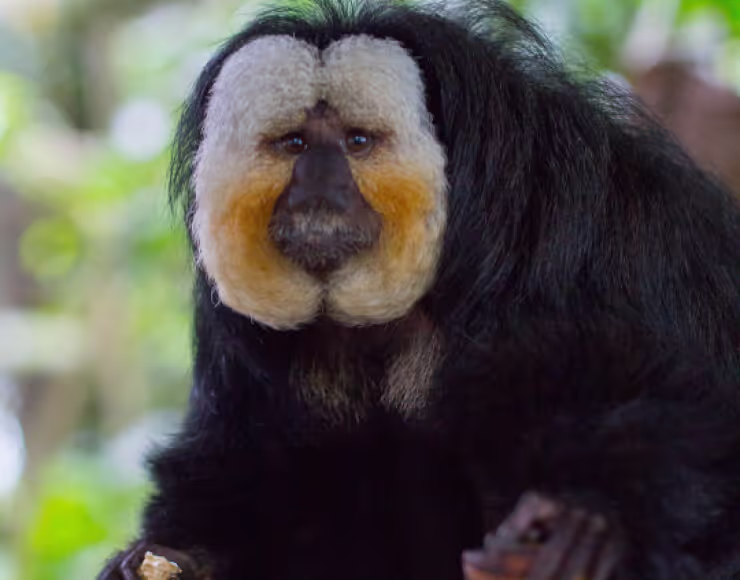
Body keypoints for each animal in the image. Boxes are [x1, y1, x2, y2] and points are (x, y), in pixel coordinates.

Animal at [97, 1, 740, 579]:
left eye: (356, 142)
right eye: (295, 144)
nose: (318, 190)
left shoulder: (580, 257)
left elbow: (685, 411)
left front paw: (588, 527)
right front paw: (166, 561)